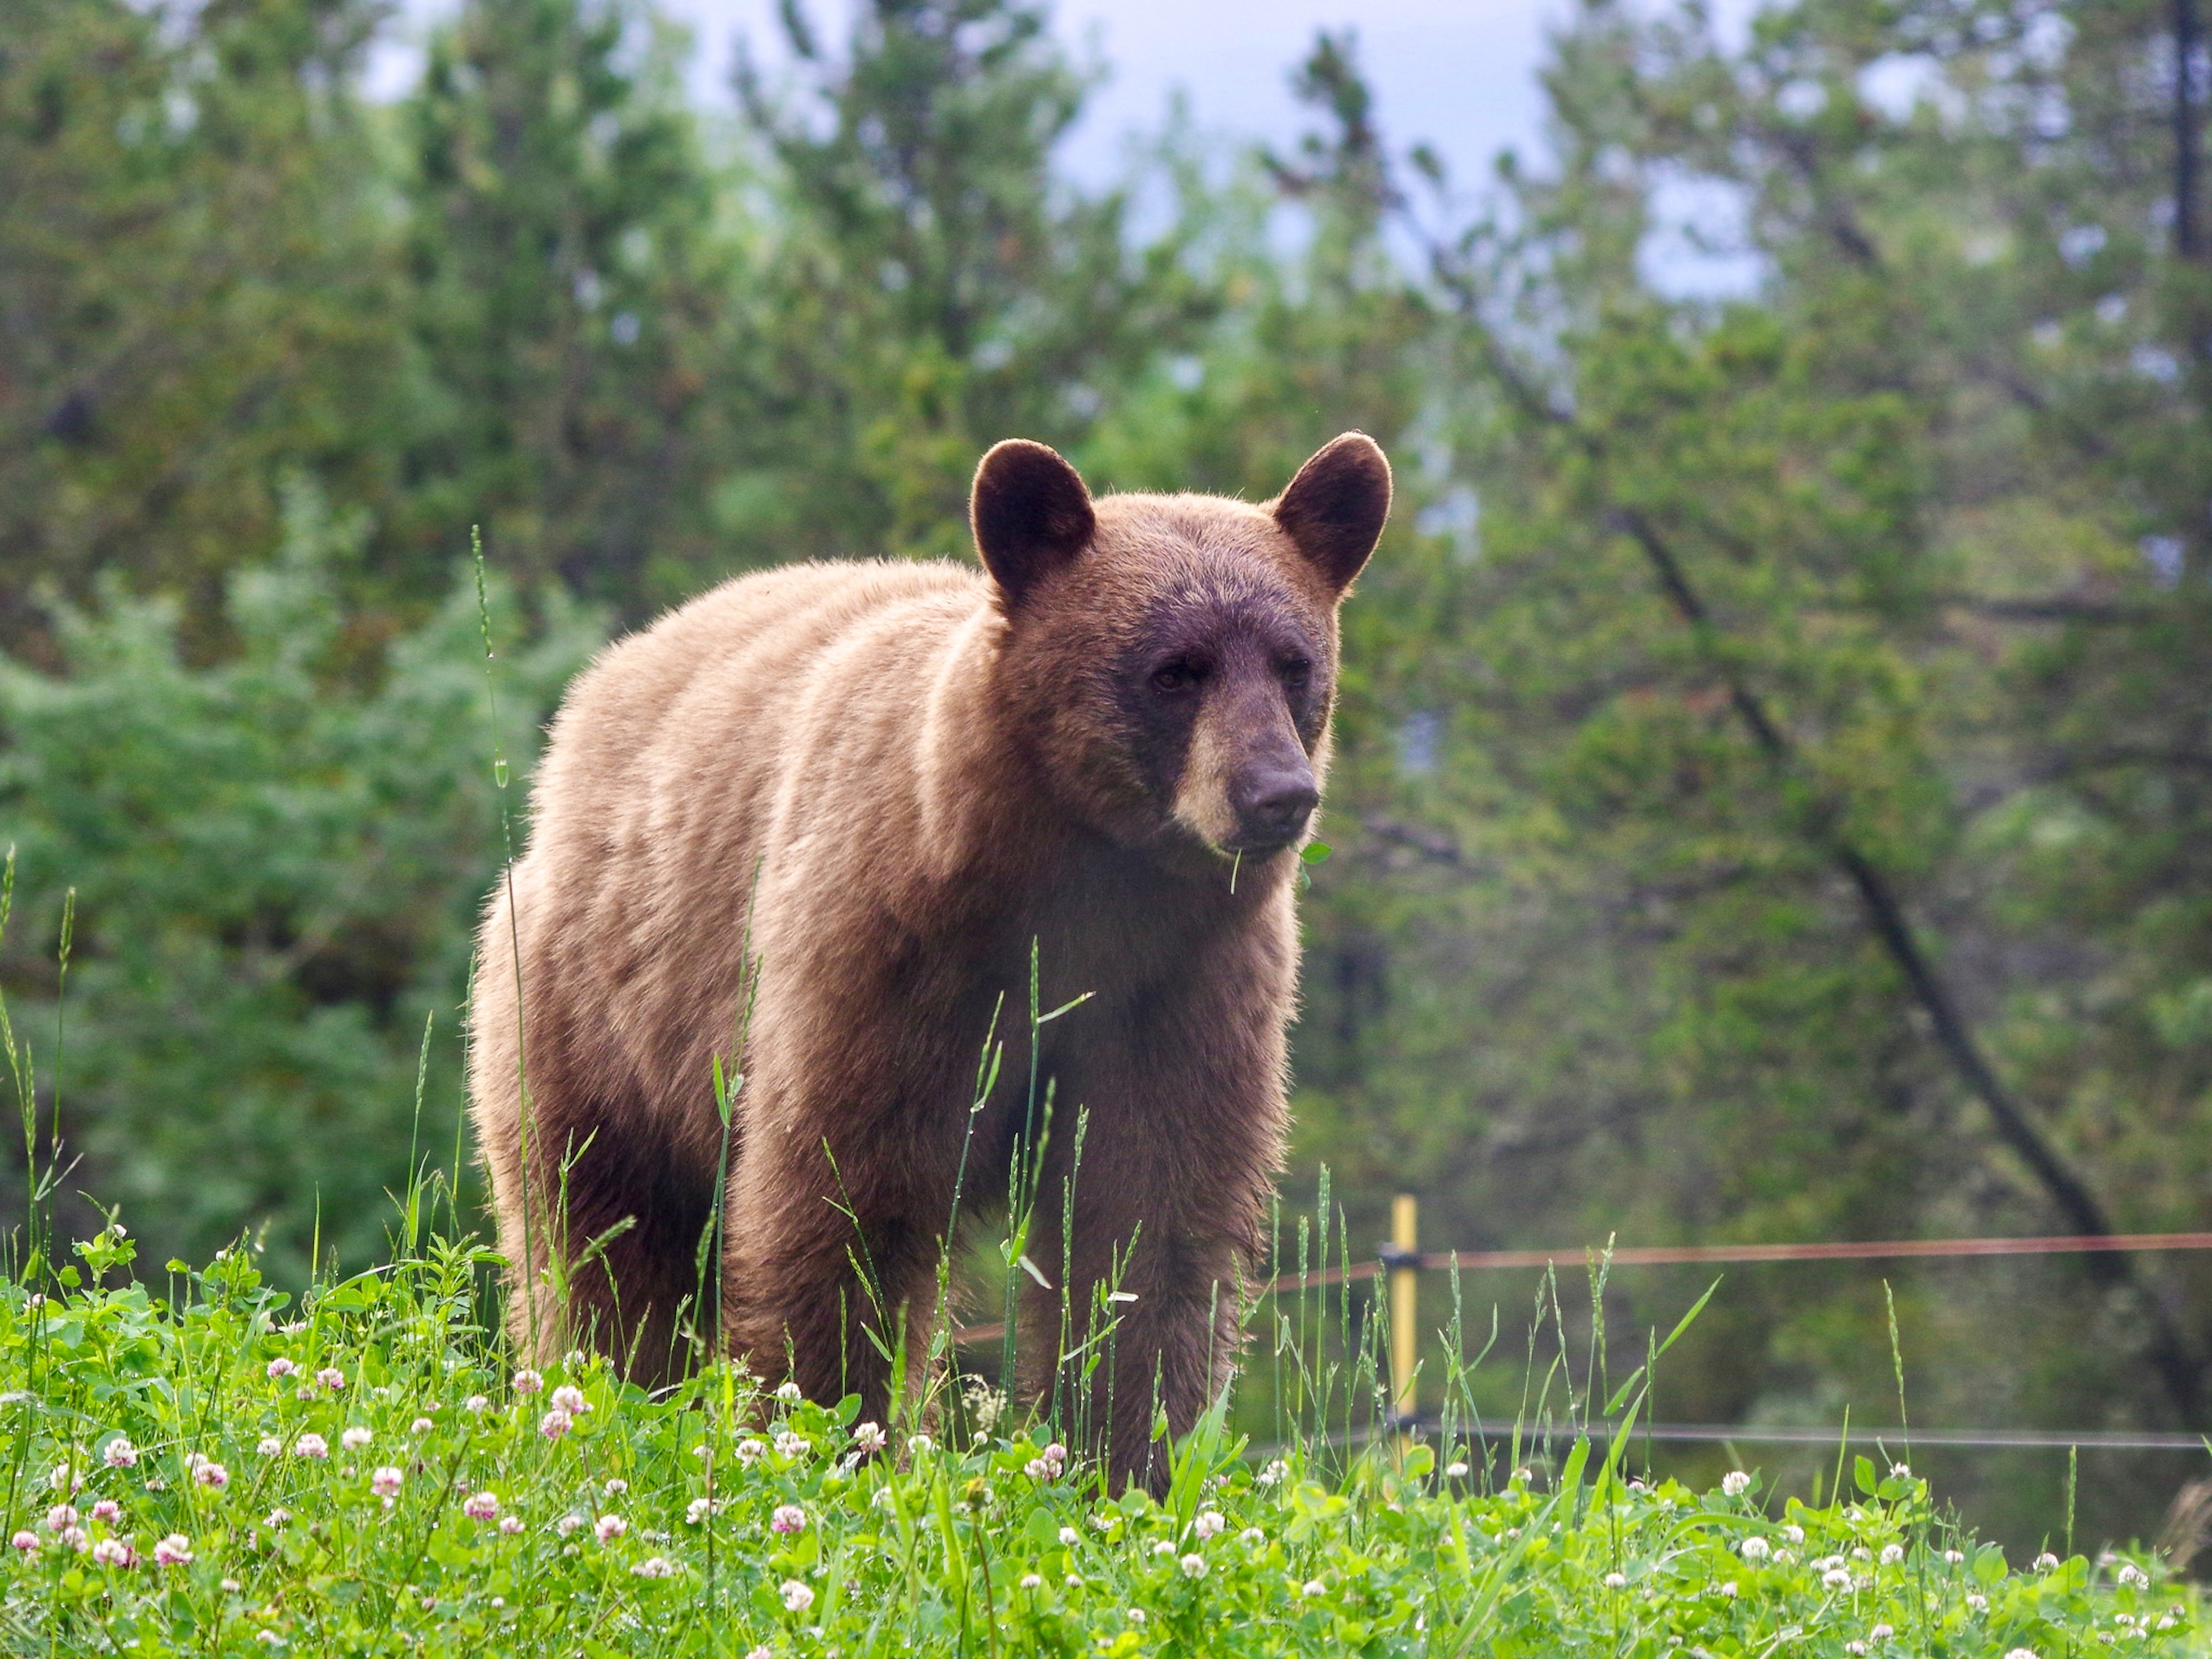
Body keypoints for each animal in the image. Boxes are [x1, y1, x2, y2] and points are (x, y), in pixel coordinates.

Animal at [467, 432, 1390, 1489]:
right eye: (1176, 670)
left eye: (1294, 662)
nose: (1278, 792)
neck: (1077, 875)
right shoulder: (897, 952)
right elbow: (846, 1195)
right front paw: (828, 1431)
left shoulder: (1183, 979)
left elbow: (1143, 1222)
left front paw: (1121, 1460)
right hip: (596, 1013)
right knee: (602, 1243)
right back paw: (604, 1403)